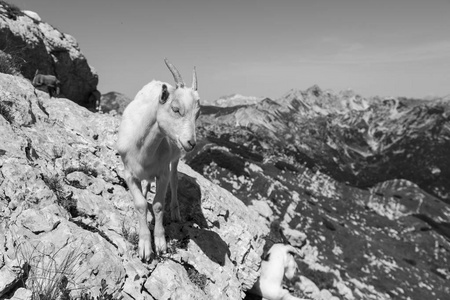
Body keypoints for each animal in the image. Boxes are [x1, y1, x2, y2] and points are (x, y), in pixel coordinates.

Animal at [117, 58, 200, 260]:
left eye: (198, 113)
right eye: (176, 109)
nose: (191, 143)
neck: (142, 148)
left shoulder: (162, 173)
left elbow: (158, 205)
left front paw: (160, 243)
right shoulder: (128, 173)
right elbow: (140, 204)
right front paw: (145, 247)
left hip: (175, 158)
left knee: (175, 179)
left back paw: (176, 212)